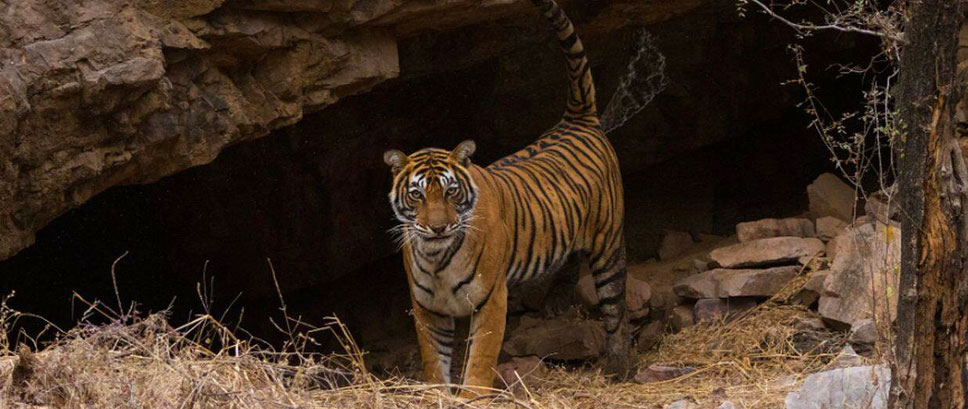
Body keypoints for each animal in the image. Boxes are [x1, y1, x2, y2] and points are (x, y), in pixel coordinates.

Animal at [382, 0, 632, 395]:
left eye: (451, 191)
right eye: (417, 195)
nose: (438, 228)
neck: (437, 257)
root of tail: (577, 120)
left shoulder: (490, 299)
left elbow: (480, 357)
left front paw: (472, 396)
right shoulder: (428, 309)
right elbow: (434, 363)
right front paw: (439, 395)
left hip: (608, 245)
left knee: (615, 310)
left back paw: (620, 368)